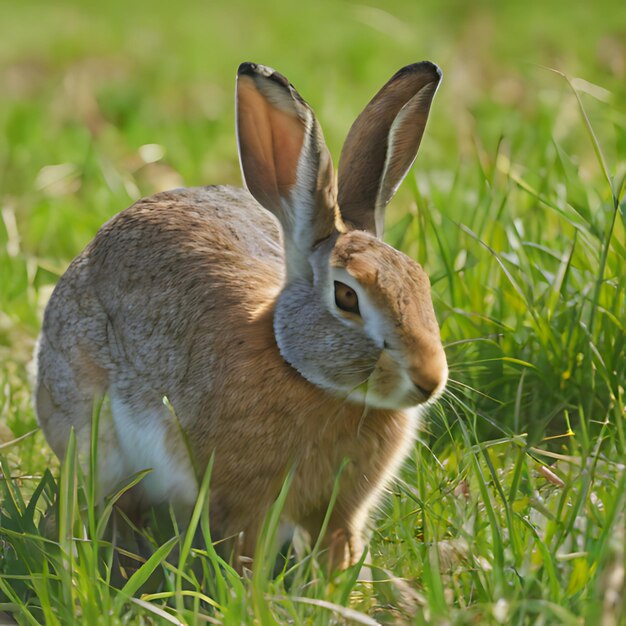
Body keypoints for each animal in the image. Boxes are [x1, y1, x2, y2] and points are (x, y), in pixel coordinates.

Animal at [34, 61, 446, 568]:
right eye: (346, 297)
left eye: (420, 281)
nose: (430, 379)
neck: (299, 369)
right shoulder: (239, 501)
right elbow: (243, 551)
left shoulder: (341, 510)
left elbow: (338, 547)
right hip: (92, 439)